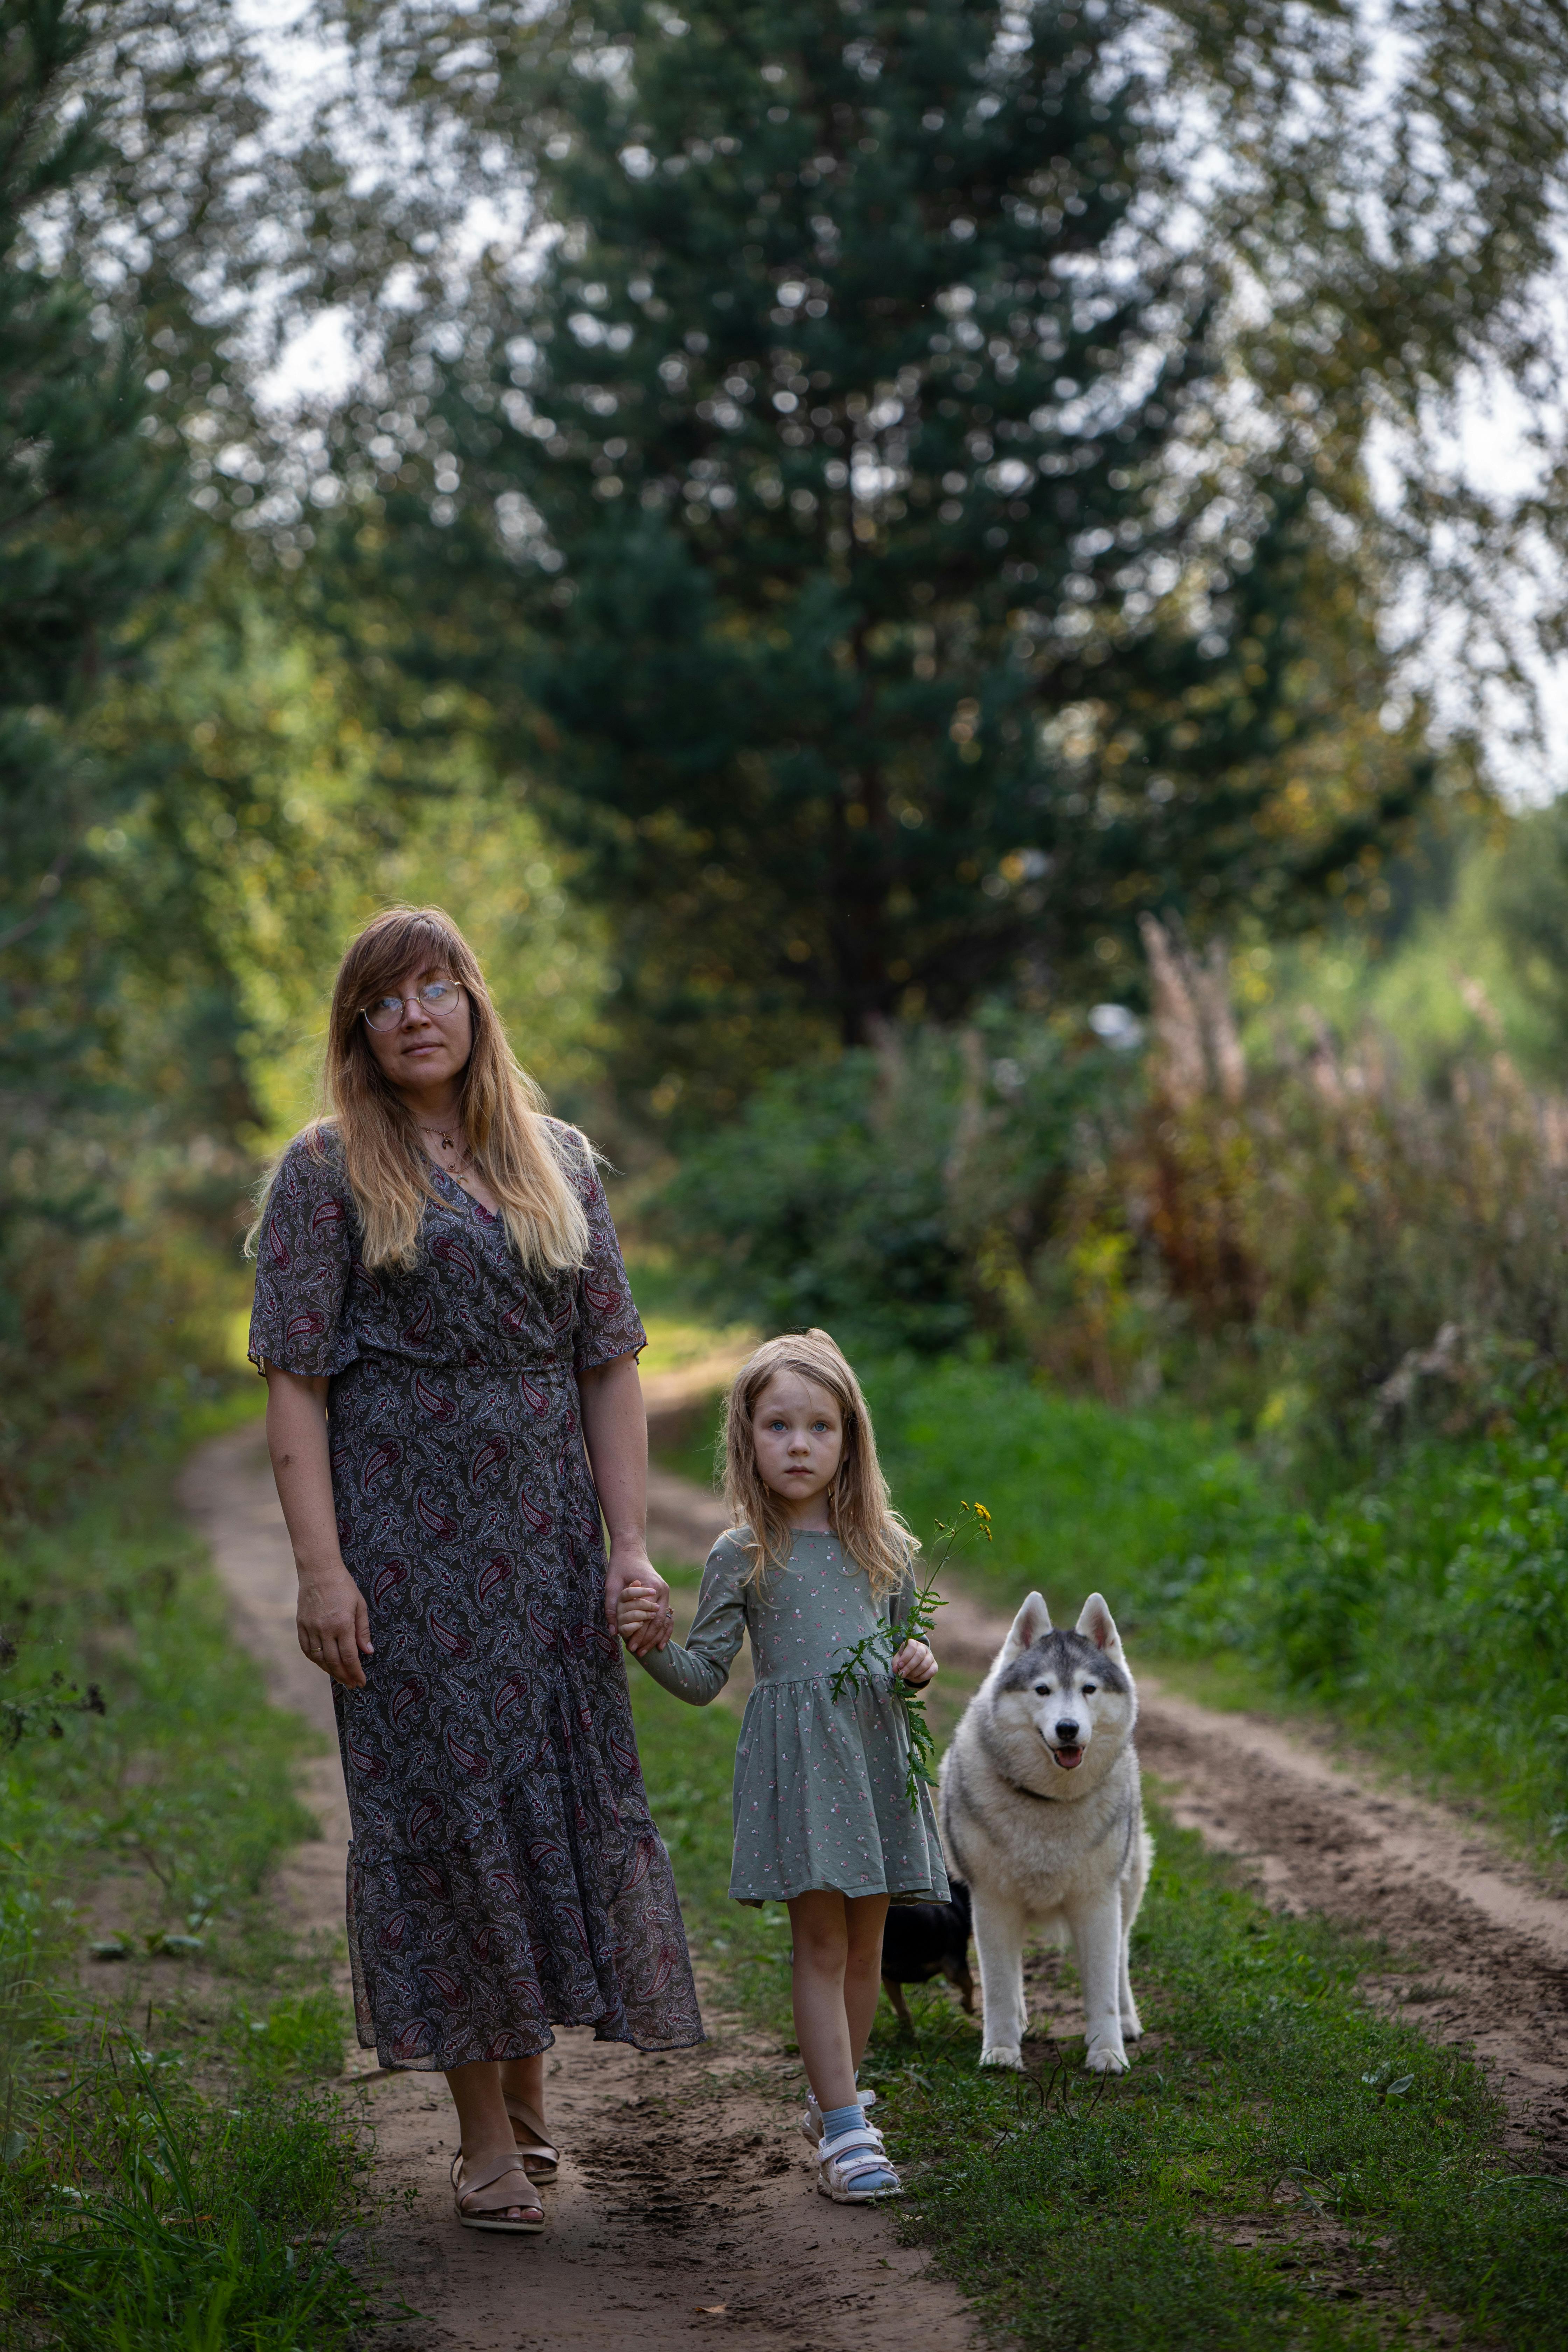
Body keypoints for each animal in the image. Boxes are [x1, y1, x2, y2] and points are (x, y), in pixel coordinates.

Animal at [884, 1882, 968, 2032]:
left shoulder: (888, 1977)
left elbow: (902, 2009)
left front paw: (909, 2034)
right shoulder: (955, 1963)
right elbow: (970, 1983)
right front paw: (969, 2005)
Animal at [945, 1590, 1152, 2070]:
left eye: (1088, 1689)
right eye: (1042, 1690)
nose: (1068, 1729)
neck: (1049, 1802)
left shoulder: (1097, 1902)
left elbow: (1102, 1990)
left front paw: (1107, 2053)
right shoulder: (992, 1902)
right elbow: (999, 1987)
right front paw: (1001, 2050)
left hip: (1127, 1888)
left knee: (1121, 1958)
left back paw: (1128, 2022)